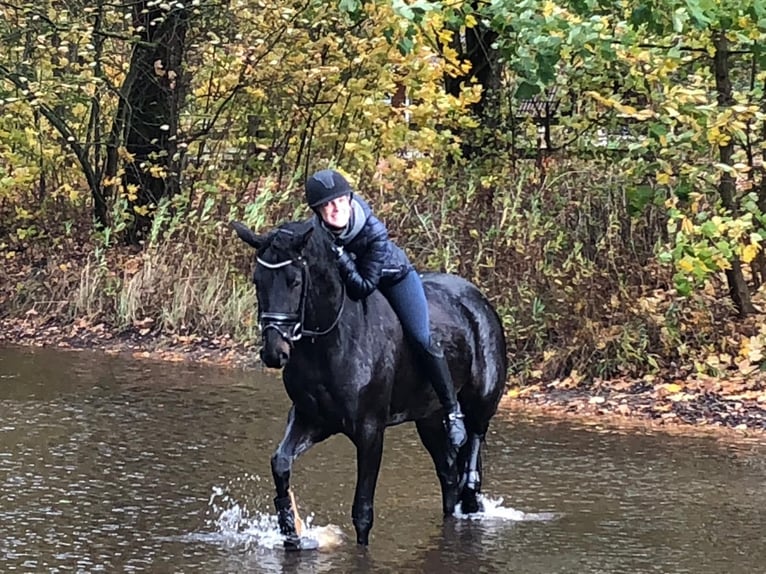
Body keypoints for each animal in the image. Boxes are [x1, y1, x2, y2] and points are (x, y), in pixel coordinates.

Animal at [231, 218, 507, 549]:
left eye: (294, 282)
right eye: (257, 281)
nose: (274, 352)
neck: (328, 343)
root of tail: (479, 301)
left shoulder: (370, 431)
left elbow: (362, 511)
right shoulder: (310, 419)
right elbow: (281, 463)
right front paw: (291, 531)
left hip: (479, 403)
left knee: (471, 465)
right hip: (428, 419)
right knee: (448, 477)